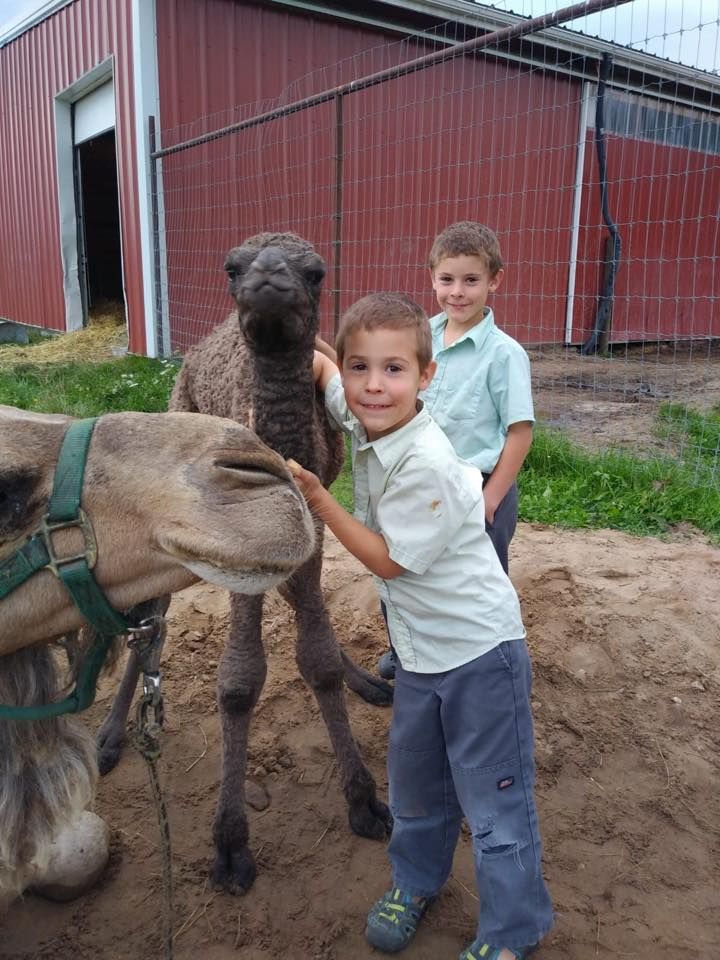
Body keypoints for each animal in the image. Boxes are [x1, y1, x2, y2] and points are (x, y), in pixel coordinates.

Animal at [101, 232, 393, 896]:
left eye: (316, 273)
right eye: (232, 267)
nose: (267, 279)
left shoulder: (306, 520)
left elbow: (314, 657)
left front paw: (364, 799)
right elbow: (236, 682)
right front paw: (231, 845)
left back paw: (368, 682)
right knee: (152, 605)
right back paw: (106, 738)